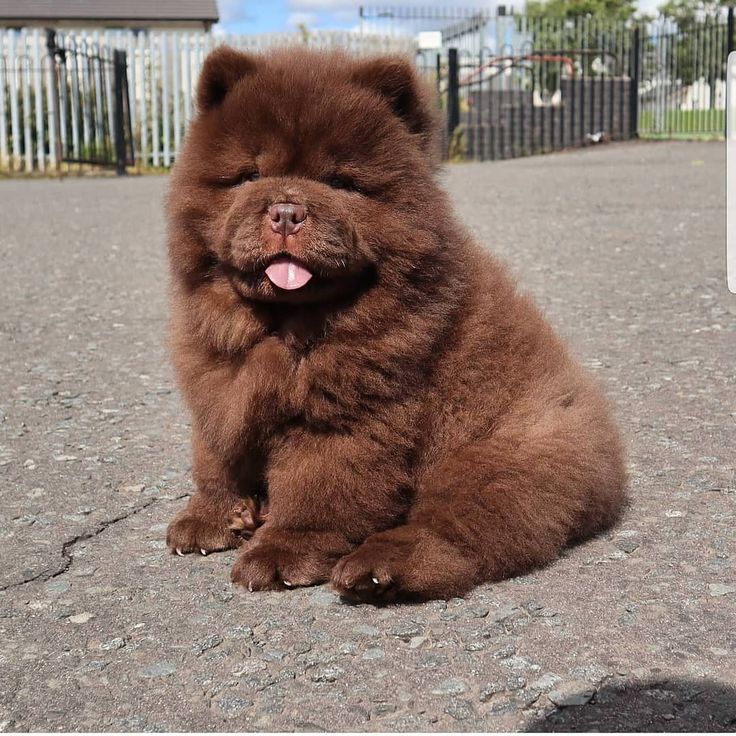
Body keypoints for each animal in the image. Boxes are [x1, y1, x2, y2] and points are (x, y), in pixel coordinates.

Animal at [165, 46, 628, 600]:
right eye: (249, 177)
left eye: (340, 183)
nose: (286, 211)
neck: (280, 328)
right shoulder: (218, 385)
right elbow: (216, 456)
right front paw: (211, 519)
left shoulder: (347, 416)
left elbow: (317, 486)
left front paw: (281, 553)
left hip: (495, 457)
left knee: (460, 529)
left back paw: (376, 569)